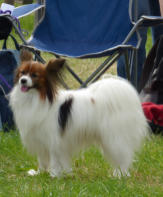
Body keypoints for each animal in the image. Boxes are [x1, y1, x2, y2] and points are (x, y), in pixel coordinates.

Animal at [9, 50, 148, 178]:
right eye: (22, 73)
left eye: (34, 75)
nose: (23, 81)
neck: (35, 97)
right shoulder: (40, 139)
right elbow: (42, 160)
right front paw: (40, 173)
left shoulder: (54, 140)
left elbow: (54, 160)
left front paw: (54, 175)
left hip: (114, 137)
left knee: (123, 156)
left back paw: (120, 175)